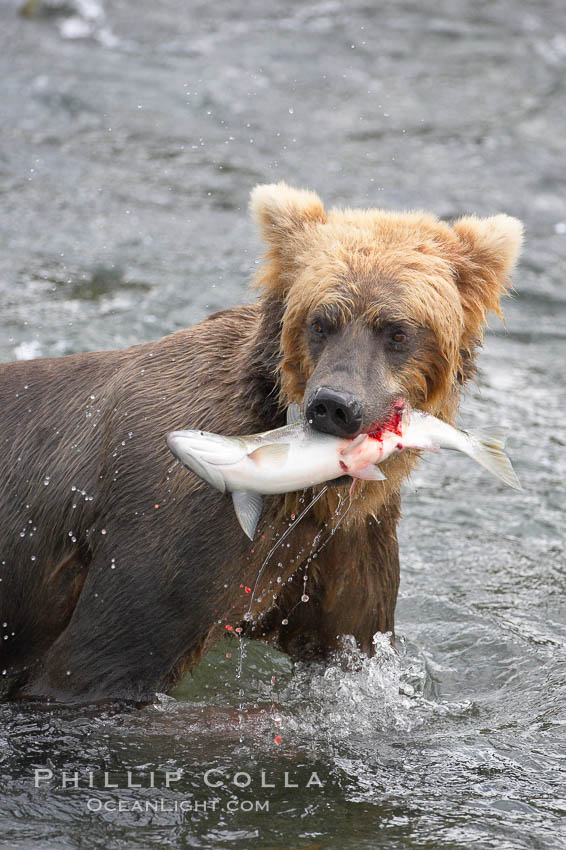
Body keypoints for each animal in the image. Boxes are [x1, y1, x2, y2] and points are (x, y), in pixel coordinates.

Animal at [0, 182, 524, 700]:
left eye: (397, 331)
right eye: (320, 321)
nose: (334, 406)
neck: (311, 497)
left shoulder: (346, 544)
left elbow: (353, 637)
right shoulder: (172, 525)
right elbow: (96, 661)